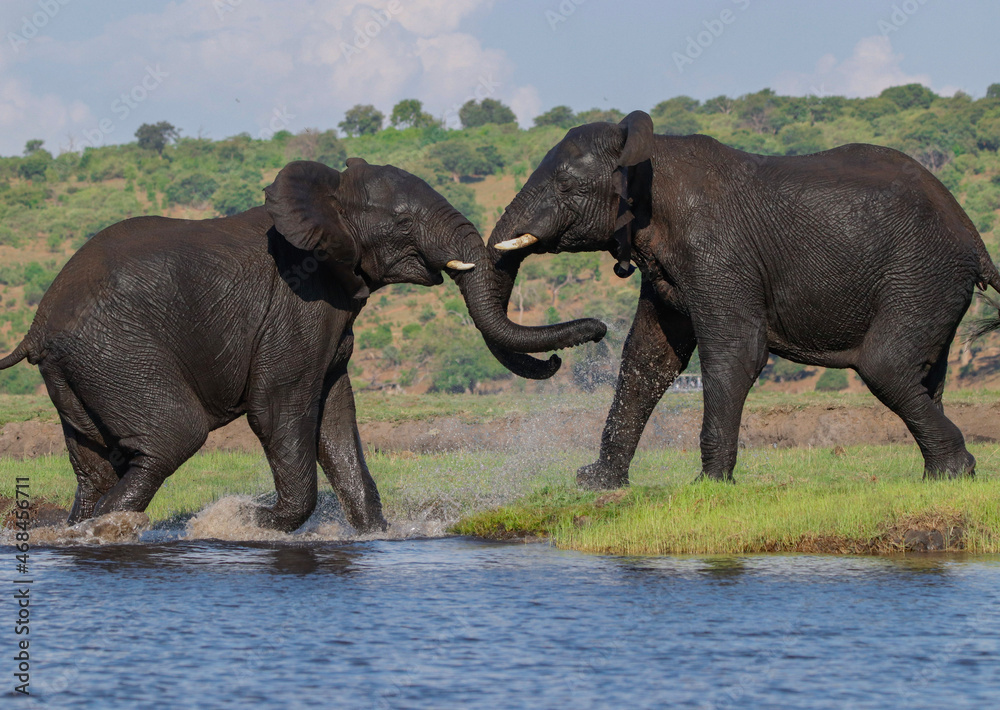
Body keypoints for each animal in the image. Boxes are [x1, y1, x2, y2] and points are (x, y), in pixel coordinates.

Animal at [0, 159, 605, 532]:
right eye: (402, 221)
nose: (597, 332)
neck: (327, 195)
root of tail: (37, 325)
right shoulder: (298, 303)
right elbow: (281, 409)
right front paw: (245, 523)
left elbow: (336, 417)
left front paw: (373, 533)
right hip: (117, 352)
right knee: (171, 439)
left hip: (82, 371)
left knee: (95, 464)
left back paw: (83, 526)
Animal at [485, 110, 1000, 488]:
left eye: (566, 186)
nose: (594, 330)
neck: (650, 153)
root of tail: (973, 234)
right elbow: (650, 358)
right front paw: (596, 483)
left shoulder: (717, 253)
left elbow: (733, 354)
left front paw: (708, 486)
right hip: (931, 282)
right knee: (922, 373)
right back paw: (938, 478)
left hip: (922, 273)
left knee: (885, 365)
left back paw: (957, 473)